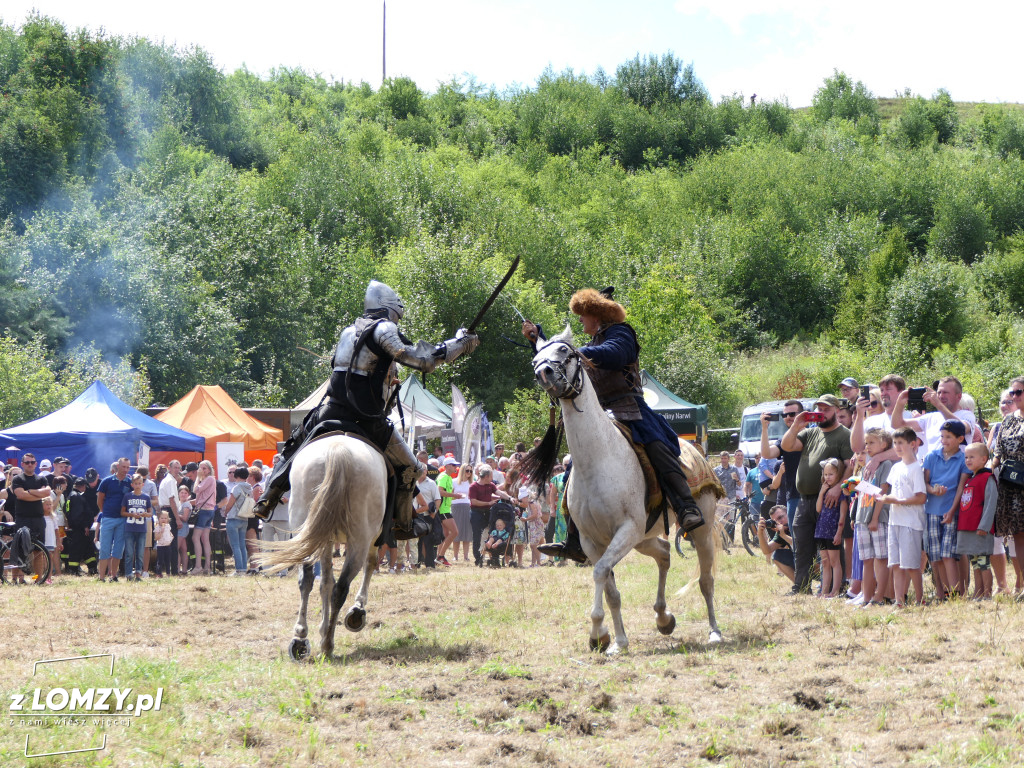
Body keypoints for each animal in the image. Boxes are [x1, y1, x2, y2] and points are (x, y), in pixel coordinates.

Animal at [262, 436, 389, 663]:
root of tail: (337, 452)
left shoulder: (325, 539)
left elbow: (325, 583)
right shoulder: (374, 535)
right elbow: (368, 565)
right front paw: (357, 609)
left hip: (307, 531)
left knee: (308, 580)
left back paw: (301, 638)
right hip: (359, 539)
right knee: (342, 586)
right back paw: (328, 643)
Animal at [532, 329, 724, 655]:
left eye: (564, 351)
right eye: (535, 359)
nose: (543, 372)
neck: (599, 459)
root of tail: (697, 451)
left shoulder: (626, 529)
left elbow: (600, 574)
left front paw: (597, 632)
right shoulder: (593, 542)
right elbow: (611, 590)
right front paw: (615, 640)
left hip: (699, 529)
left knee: (706, 580)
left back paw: (714, 631)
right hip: (643, 539)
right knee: (664, 554)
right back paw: (663, 618)